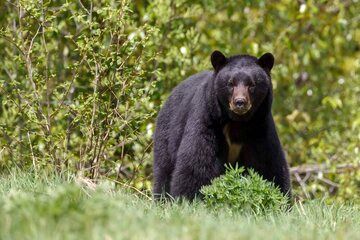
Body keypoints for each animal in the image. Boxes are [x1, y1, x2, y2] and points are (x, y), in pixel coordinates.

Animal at [152, 50, 290, 201]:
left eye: (252, 84)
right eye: (230, 83)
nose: (240, 102)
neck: (237, 122)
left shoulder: (259, 127)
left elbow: (268, 164)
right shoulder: (208, 120)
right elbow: (197, 162)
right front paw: (188, 198)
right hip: (167, 133)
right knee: (163, 169)